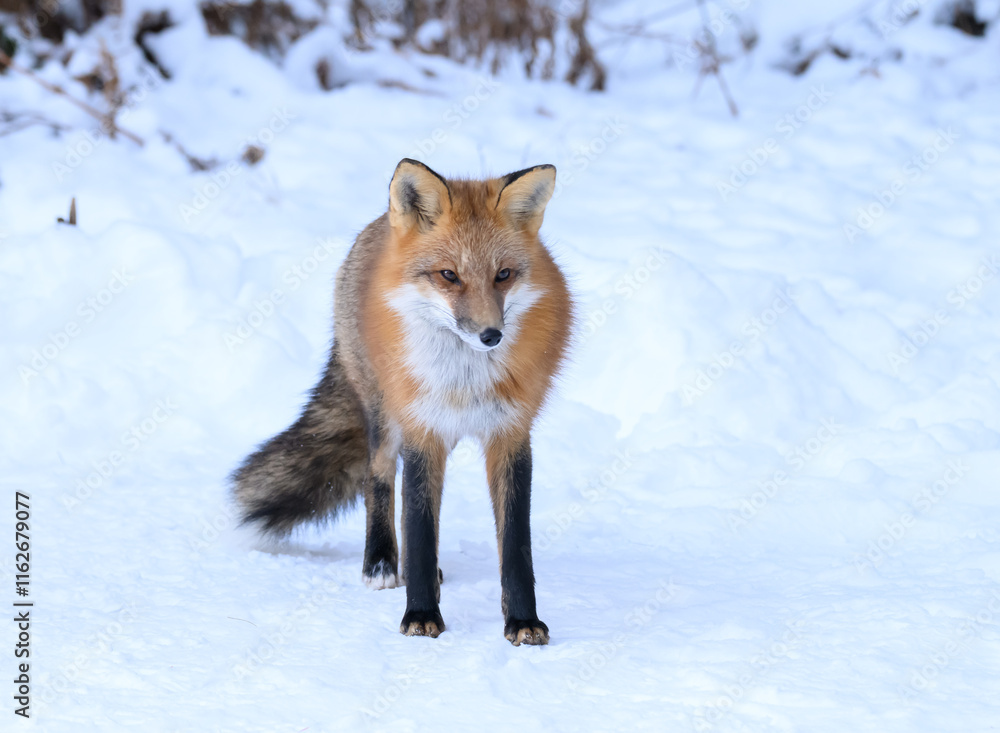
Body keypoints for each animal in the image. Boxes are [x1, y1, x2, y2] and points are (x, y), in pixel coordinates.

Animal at [232, 159, 572, 645]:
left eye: (503, 275)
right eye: (449, 275)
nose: (491, 336)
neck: (463, 380)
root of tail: (376, 227)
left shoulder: (509, 433)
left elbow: (514, 544)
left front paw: (523, 622)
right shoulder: (421, 428)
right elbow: (419, 525)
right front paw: (421, 614)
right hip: (386, 418)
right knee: (378, 480)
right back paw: (381, 563)